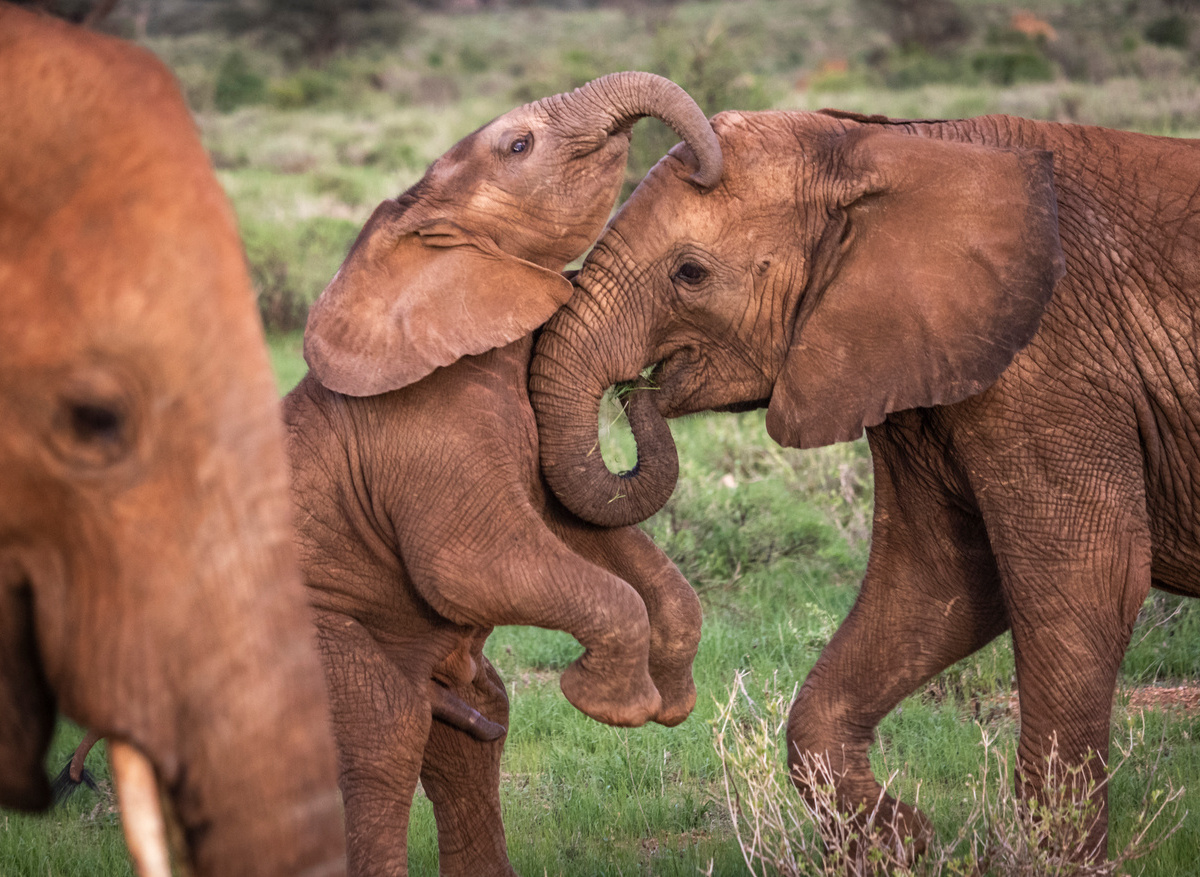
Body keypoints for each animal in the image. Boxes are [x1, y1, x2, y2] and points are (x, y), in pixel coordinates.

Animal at [289, 72, 720, 875]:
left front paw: (669, 703)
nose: (649, 373)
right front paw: (602, 702)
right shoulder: (423, 439)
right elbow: (471, 566)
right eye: (518, 145)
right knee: (383, 735)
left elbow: (580, 527)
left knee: (472, 726)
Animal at [530, 107, 1200, 858]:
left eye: (690, 273)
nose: (638, 389)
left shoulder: (1050, 370)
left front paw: (1050, 860)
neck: (892, 145)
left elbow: (1082, 582)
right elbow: (936, 586)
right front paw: (904, 841)